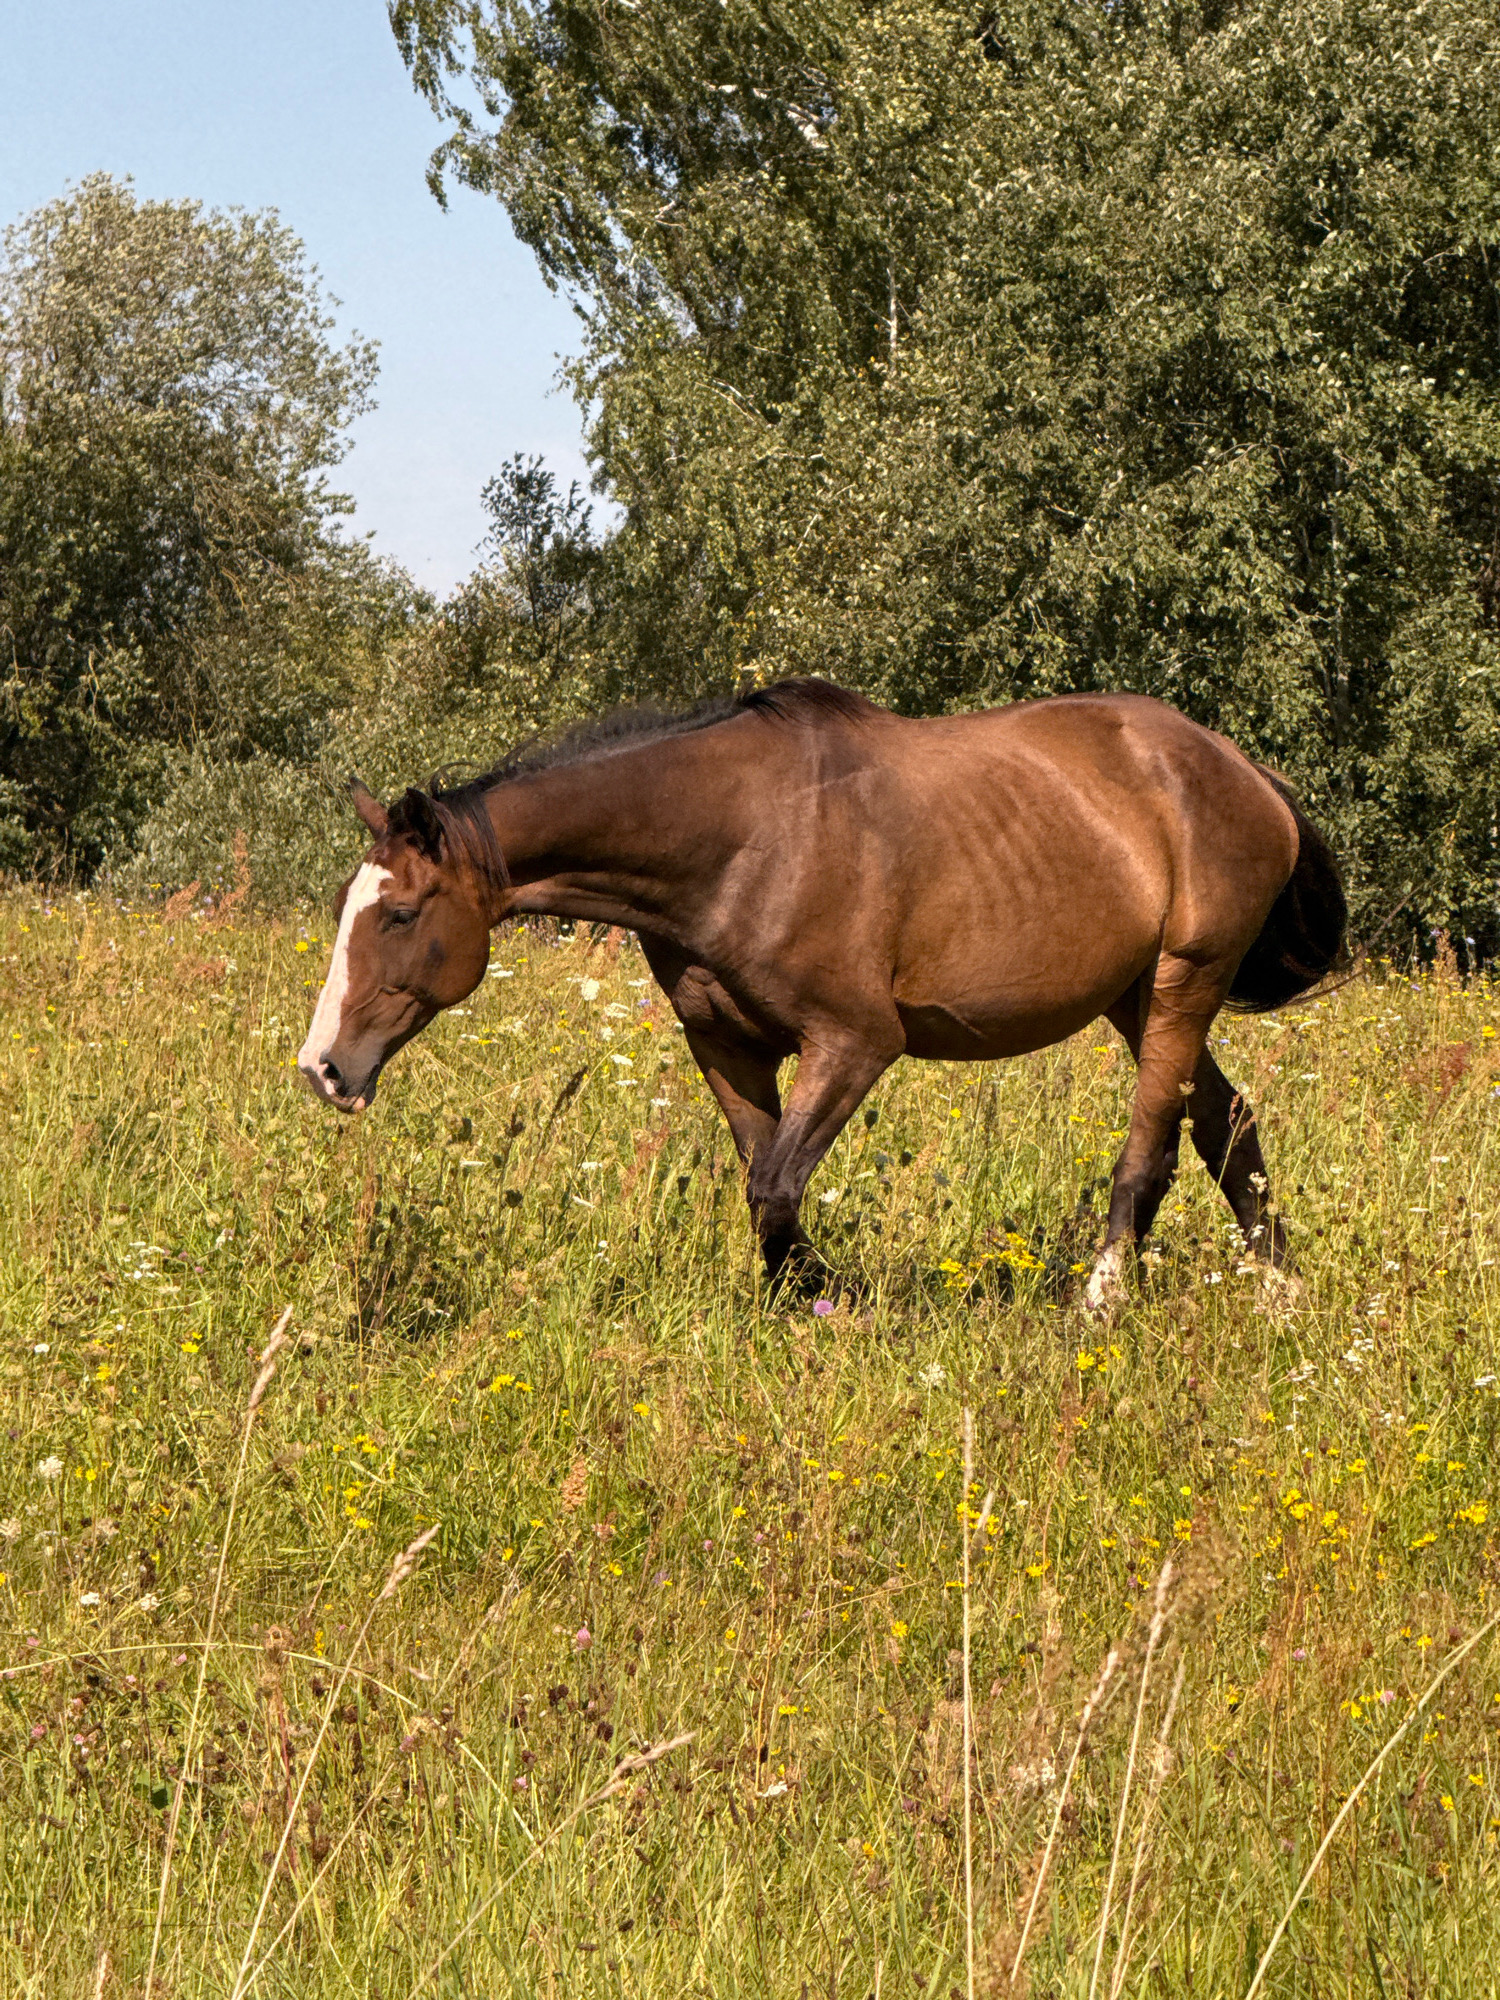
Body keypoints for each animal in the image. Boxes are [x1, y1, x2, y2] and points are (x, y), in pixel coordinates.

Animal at [297, 679, 1345, 1311]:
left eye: (399, 914)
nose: (323, 1070)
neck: (740, 840)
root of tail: (1247, 772)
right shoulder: (729, 1047)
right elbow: (767, 1185)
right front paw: (806, 1299)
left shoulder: (855, 1042)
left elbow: (777, 1185)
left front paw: (825, 1303)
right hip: (1136, 996)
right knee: (1229, 1123)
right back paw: (1280, 1293)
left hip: (1182, 984)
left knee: (1148, 1154)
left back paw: (1103, 1299)